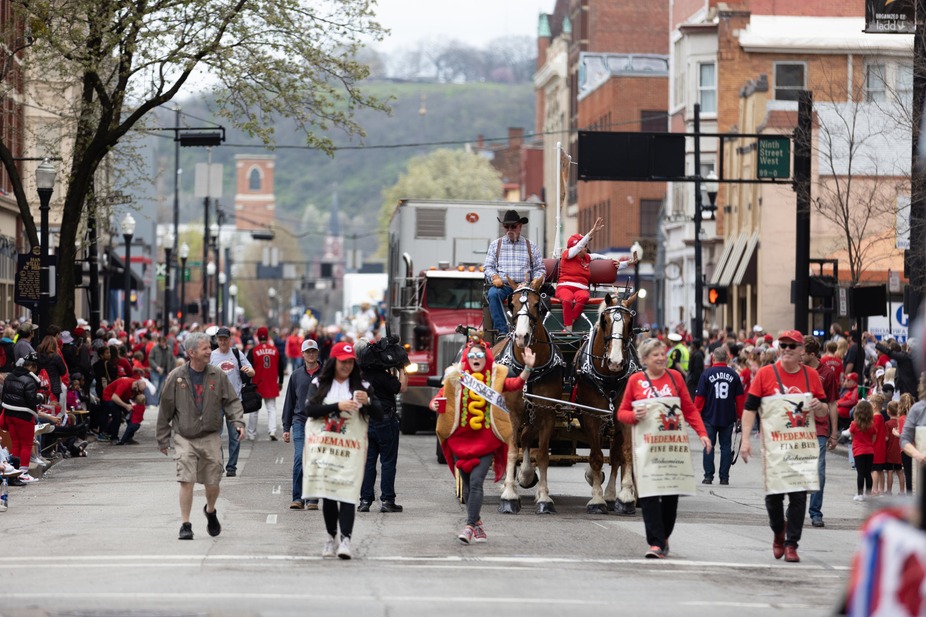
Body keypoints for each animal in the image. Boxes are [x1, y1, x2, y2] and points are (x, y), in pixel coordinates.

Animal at [496, 276, 568, 512]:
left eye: (538, 304)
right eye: (512, 304)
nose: (521, 336)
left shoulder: (547, 413)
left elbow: (543, 454)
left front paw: (544, 497)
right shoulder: (512, 413)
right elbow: (511, 450)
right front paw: (509, 495)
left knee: (527, 439)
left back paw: (526, 475)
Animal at [572, 292, 640, 512]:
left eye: (630, 322)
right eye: (604, 320)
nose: (616, 362)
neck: (609, 378)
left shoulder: (624, 417)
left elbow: (625, 454)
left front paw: (625, 497)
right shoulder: (590, 416)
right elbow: (596, 456)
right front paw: (596, 499)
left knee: (616, 455)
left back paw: (612, 495)